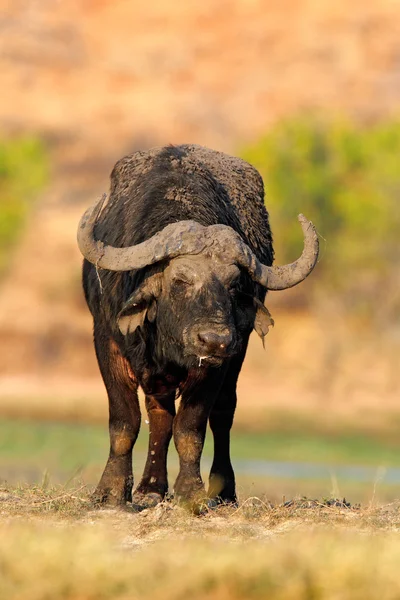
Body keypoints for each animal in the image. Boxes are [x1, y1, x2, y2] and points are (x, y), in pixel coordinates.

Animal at [76, 145, 318, 510]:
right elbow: (125, 422)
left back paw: (223, 490)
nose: (215, 340)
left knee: (222, 414)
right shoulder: (107, 341)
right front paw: (111, 491)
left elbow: (190, 428)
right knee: (159, 414)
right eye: (180, 281)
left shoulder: (214, 366)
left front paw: (191, 492)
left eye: (233, 285)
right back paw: (151, 487)